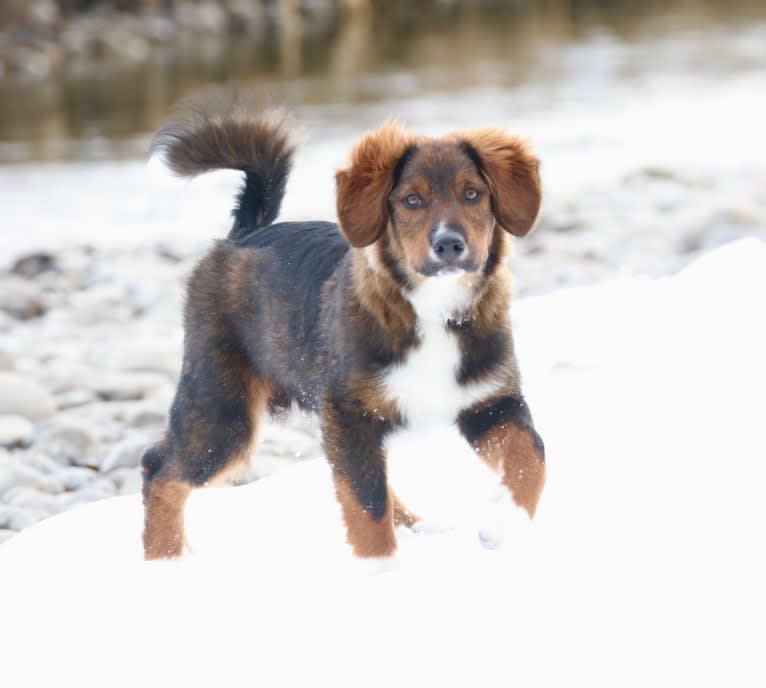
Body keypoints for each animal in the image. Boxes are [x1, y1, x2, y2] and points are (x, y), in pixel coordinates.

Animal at [142, 95, 544, 560]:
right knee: (158, 468)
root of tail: (243, 234)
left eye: (473, 194)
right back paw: (164, 559)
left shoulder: (490, 402)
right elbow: (366, 505)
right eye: (411, 200)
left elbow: (533, 454)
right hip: (223, 410)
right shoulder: (349, 413)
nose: (448, 245)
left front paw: (503, 521)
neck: (431, 310)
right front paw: (380, 568)